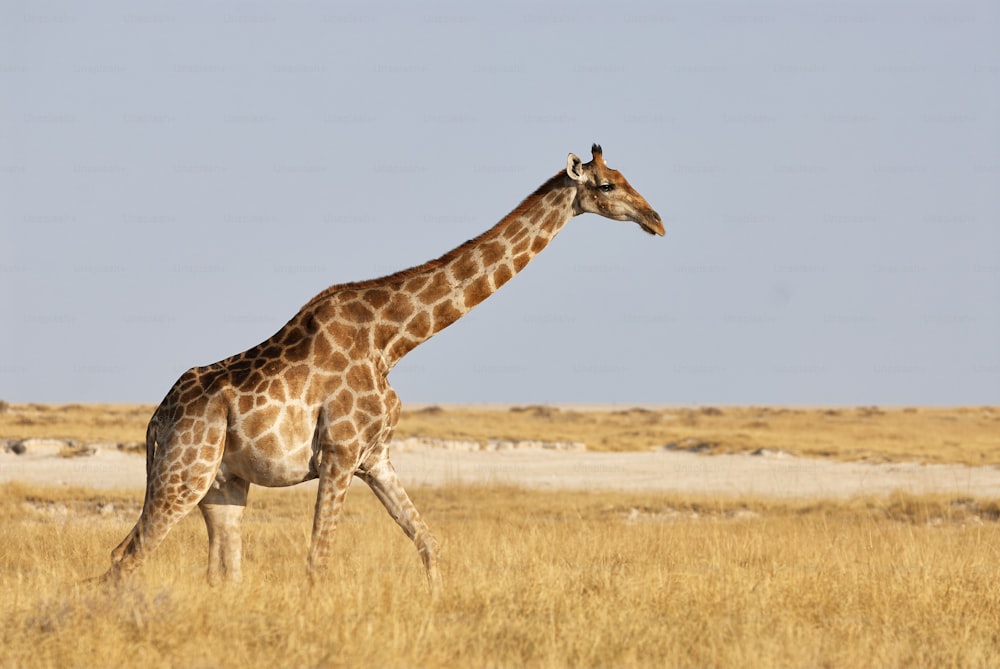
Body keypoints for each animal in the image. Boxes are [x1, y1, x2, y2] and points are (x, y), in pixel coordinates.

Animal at [103, 144, 664, 592]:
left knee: (220, 570)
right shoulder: (339, 453)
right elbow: (318, 561)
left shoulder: (376, 456)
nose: (657, 219)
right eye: (608, 184)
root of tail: (155, 420)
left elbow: (430, 544)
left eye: (626, 175)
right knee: (125, 557)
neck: (393, 341)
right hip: (185, 473)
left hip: (223, 486)